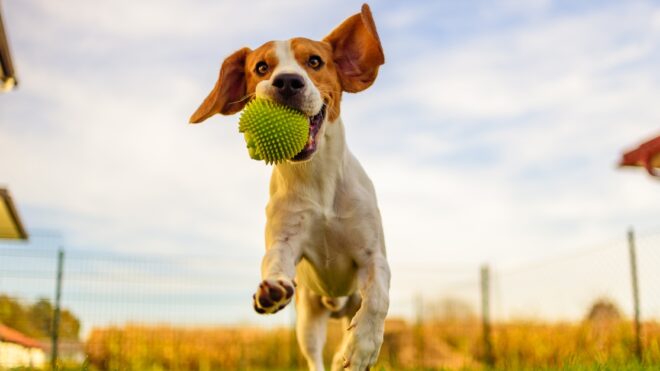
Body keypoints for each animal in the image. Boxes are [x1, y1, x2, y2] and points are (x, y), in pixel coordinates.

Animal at [188, 3, 390, 371]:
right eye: (261, 67)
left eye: (315, 61)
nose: (287, 81)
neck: (317, 179)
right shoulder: (284, 240)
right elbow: (274, 261)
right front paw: (270, 290)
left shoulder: (374, 256)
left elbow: (379, 297)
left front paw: (361, 348)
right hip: (308, 321)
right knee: (315, 357)